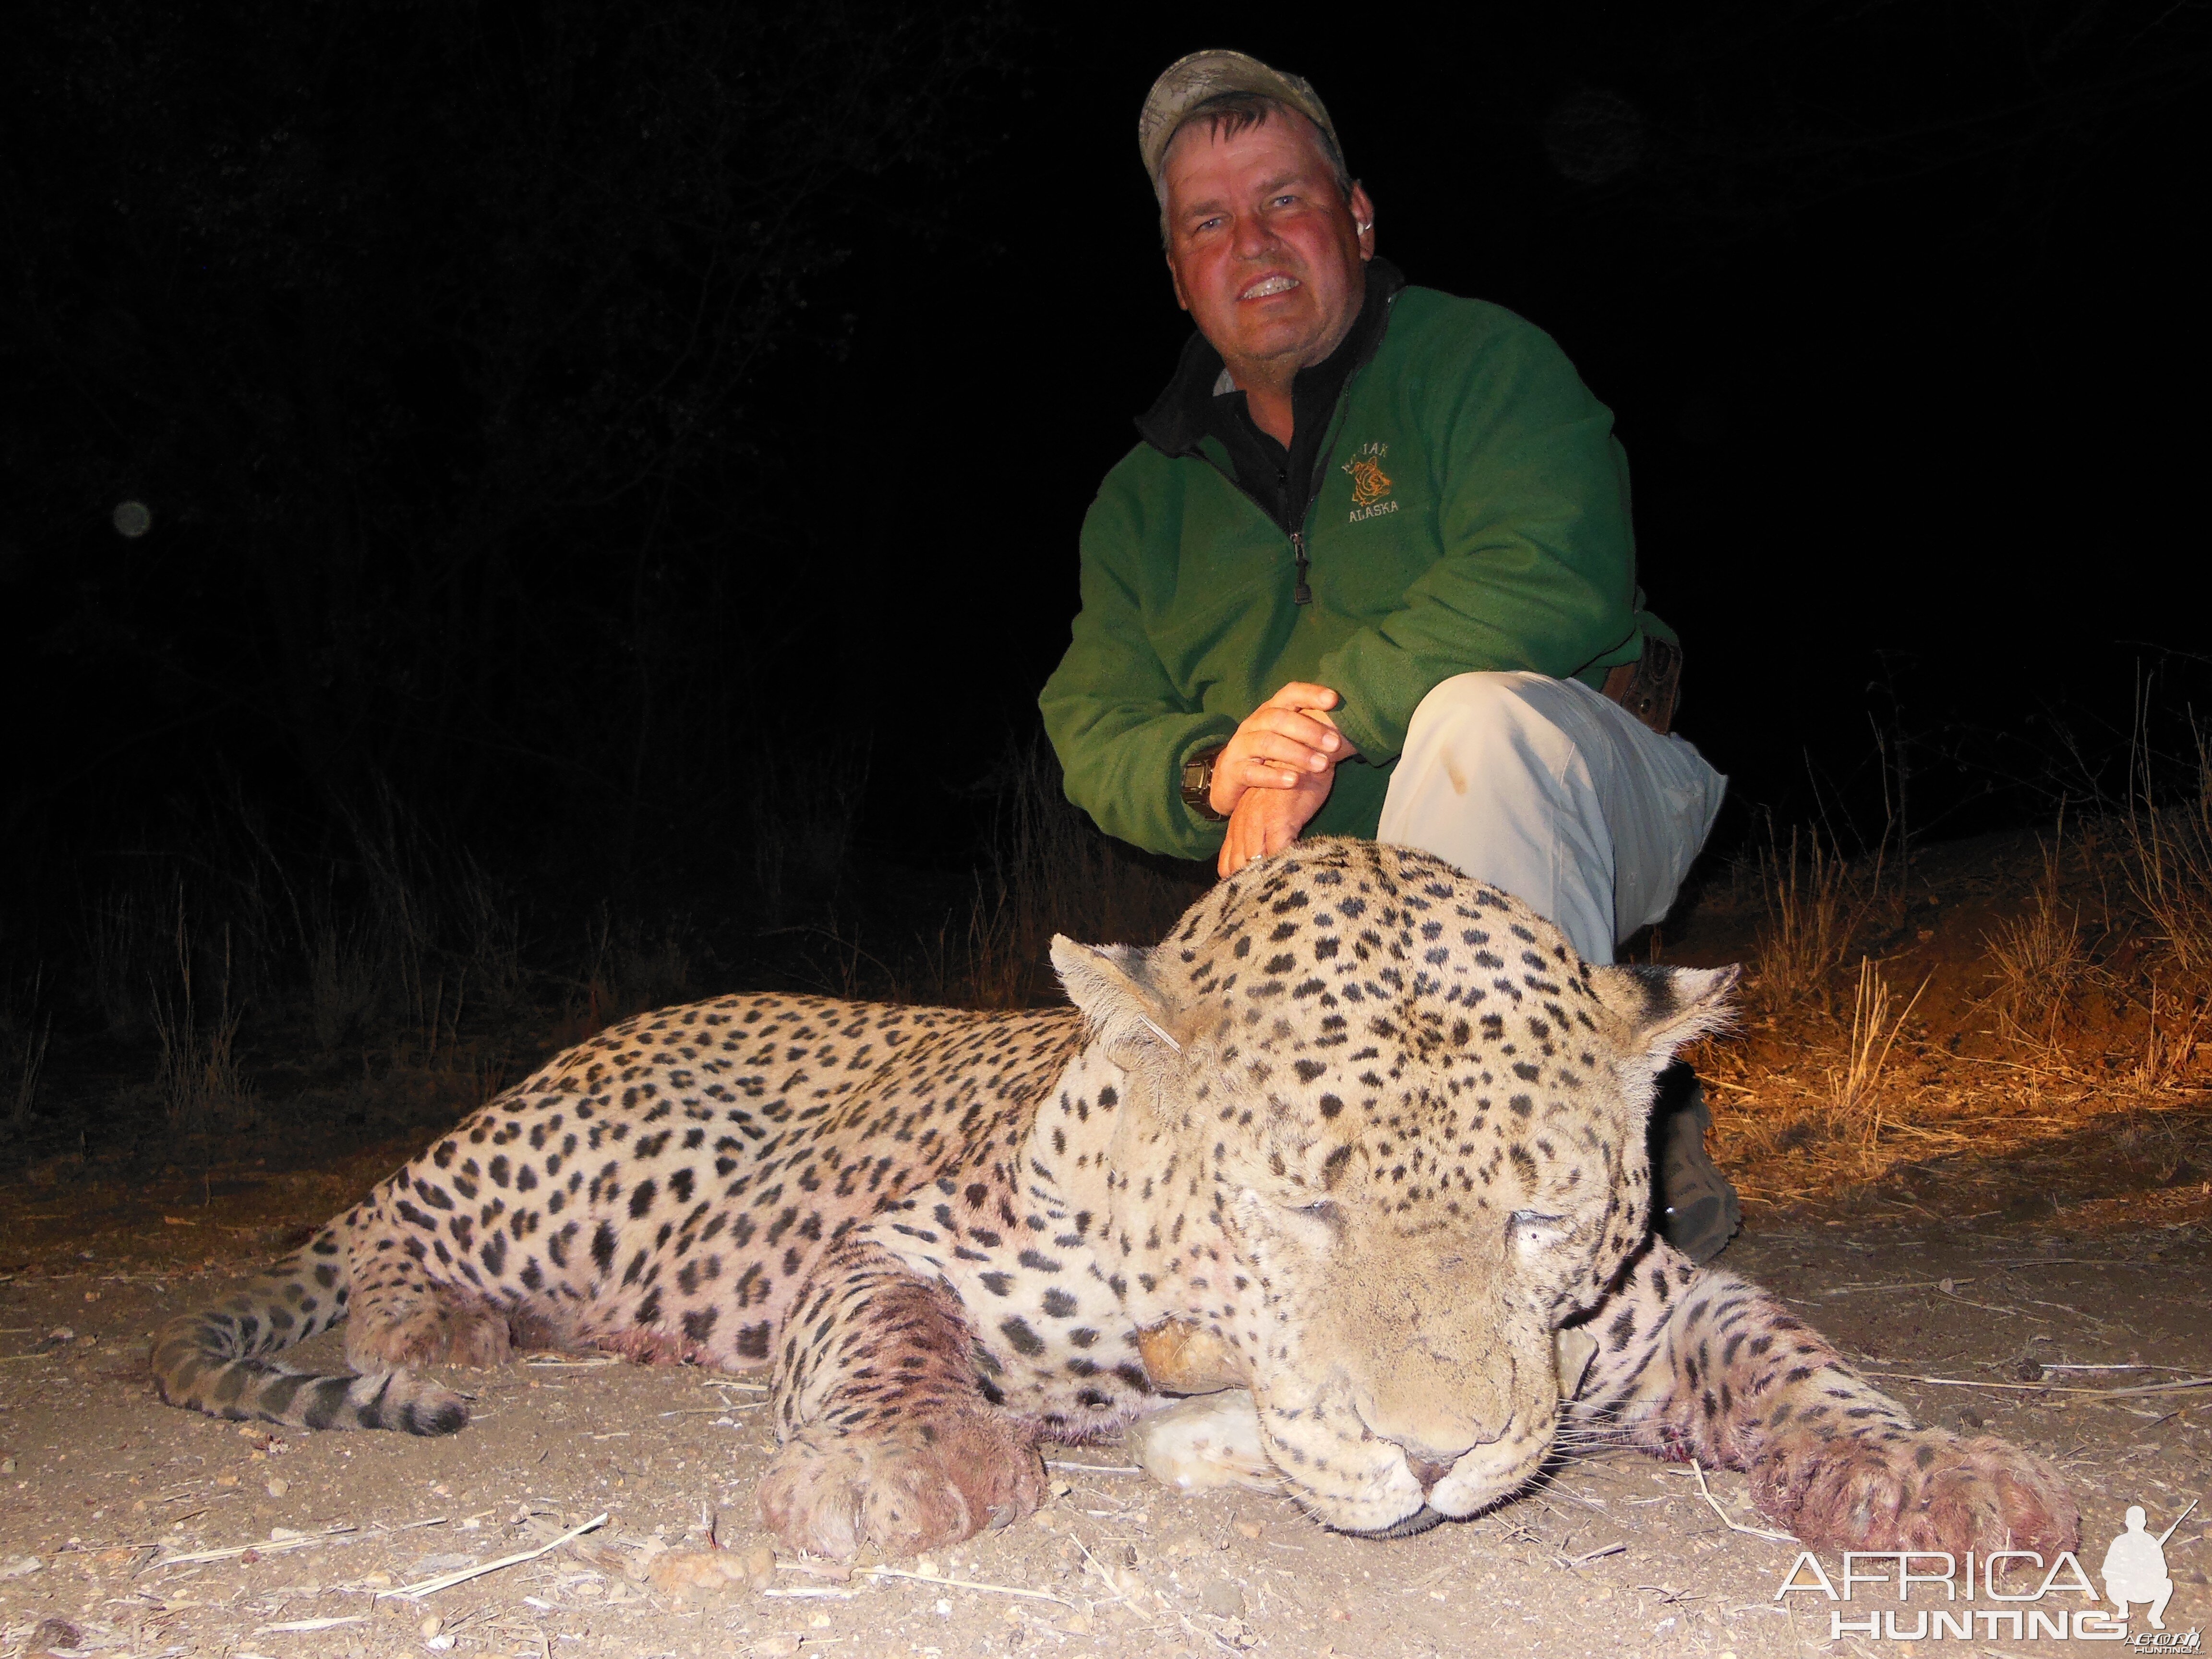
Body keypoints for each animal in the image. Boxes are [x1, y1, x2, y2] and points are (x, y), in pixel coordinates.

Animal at [151, 849, 2070, 1566]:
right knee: (385, 1238)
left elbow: (1789, 1348)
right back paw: (432, 1323)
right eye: (1301, 1207)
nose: (1441, 1460)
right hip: (584, 1169)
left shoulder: (1655, 1306)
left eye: (1537, 1226)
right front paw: (896, 1464)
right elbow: (885, 1340)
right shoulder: (902, 1248)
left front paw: (1927, 1467)